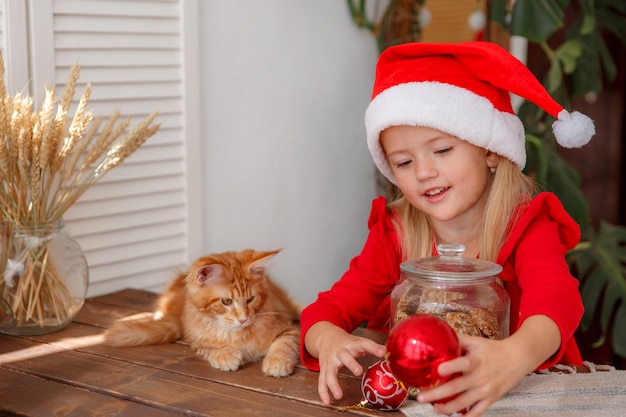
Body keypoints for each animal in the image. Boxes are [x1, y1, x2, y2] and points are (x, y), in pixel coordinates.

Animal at [103, 250, 302, 376]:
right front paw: (224, 355)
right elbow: (210, 347)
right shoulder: (196, 338)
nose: (244, 319)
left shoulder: (289, 329)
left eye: (251, 299)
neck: (238, 335)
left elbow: (284, 344)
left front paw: (277, 361)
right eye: (226, 301)